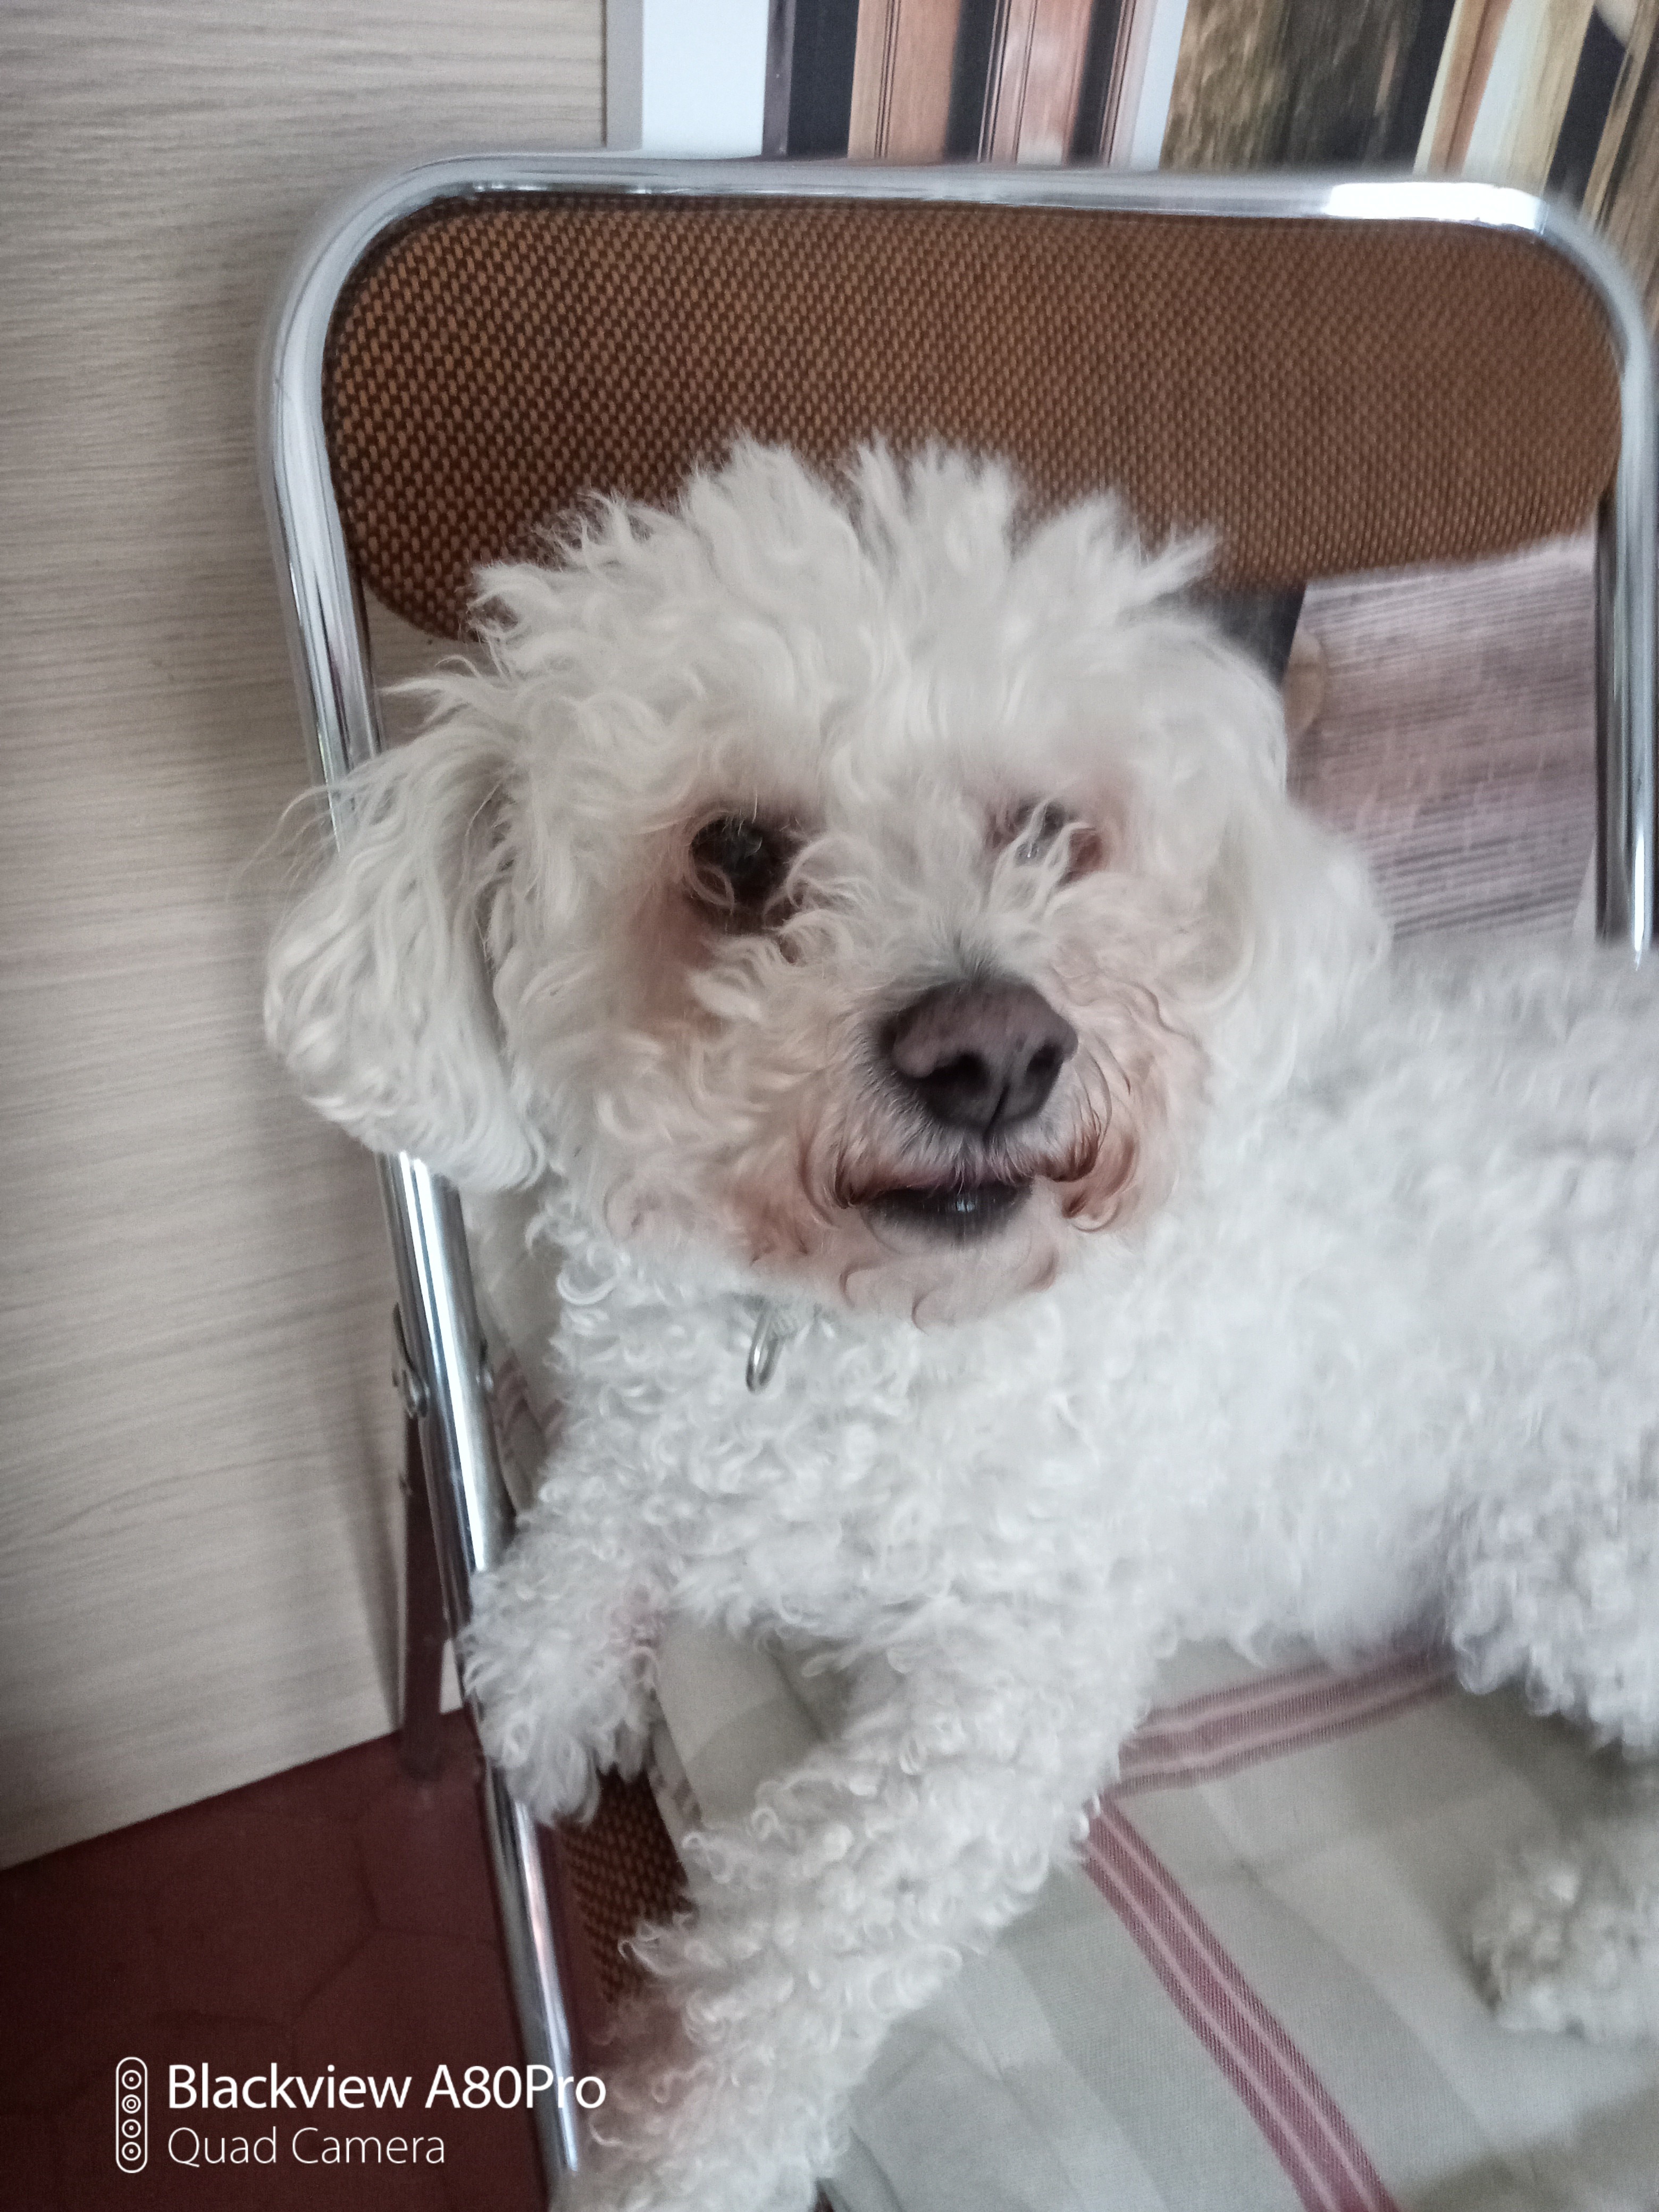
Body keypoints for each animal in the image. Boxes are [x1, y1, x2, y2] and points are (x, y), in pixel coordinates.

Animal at [266, 444, 1659, 2212]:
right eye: (738, 855)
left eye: (1054, 831)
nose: (994, 1050)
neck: (857, 1328)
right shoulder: (661, 1430)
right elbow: (594, 1518)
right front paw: (550, 1675)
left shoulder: (1011, 1683)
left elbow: (806, 1920)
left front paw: (691, 2145)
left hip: (1562, 1550)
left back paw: (1579, 1937)